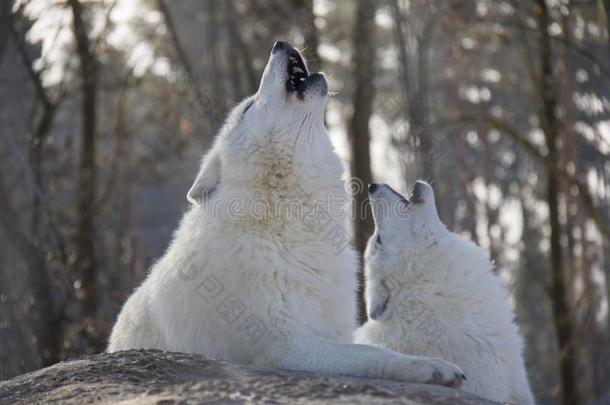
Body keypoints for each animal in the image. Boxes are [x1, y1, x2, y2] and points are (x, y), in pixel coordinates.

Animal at [108, 41, 466, 386]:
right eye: (248, 107)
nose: (279, 43)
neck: (285, 223)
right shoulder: (283, 344)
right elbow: (371, 353)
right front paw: (431, 366)